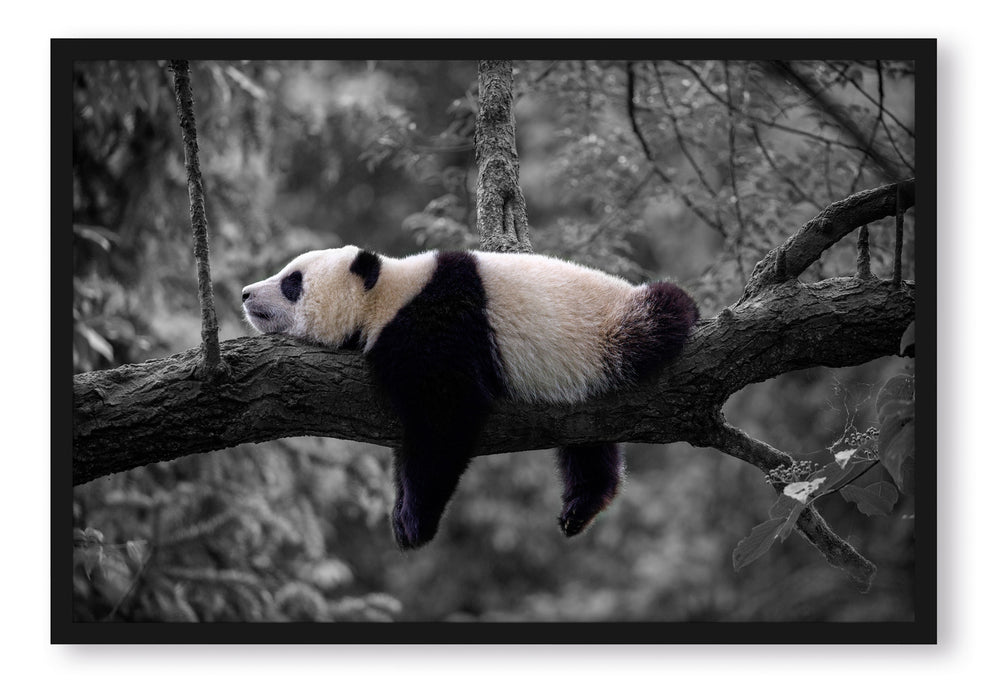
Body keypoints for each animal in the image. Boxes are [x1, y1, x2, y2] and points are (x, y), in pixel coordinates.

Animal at [242, 245, 699, 550]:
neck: (388, 294)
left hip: (611, 330)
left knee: (662, 314)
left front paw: (413, 522)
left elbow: (445, 418)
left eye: (292, 282)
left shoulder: (438, 325)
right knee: (587, 442)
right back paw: (582, 505)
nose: (246, 293)